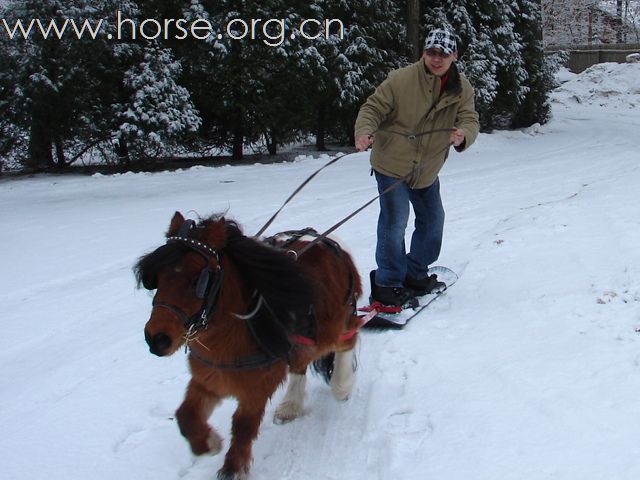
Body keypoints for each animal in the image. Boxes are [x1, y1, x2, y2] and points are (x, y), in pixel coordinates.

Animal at [134, 212, 364, 478]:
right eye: (158, 279)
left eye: (198, 280)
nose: (156, 338)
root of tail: (330, 243)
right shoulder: (208, 379)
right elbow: (186, 416)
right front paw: (209, 443)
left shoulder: (256, 388)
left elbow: (243, 425)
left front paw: (233, 468)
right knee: (300, 363)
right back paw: (291, 406)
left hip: (331, 328)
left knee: (349, 338)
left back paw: (341, 385)